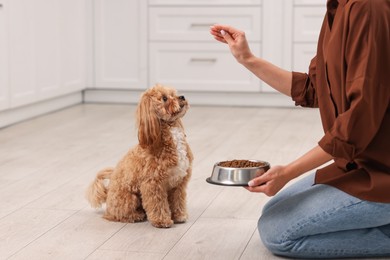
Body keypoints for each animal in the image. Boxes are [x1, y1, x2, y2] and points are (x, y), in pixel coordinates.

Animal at [86, 84, 193, 228]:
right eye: (164, 98)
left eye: (173, 93)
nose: (182, 96)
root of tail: (108, 193)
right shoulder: (153, 184)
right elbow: (158, 204)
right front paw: (162, 221)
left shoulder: (179, 183)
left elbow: (178, 200)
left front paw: (179, 216)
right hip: (129, 198)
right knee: (117, 215)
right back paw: (136, 215)